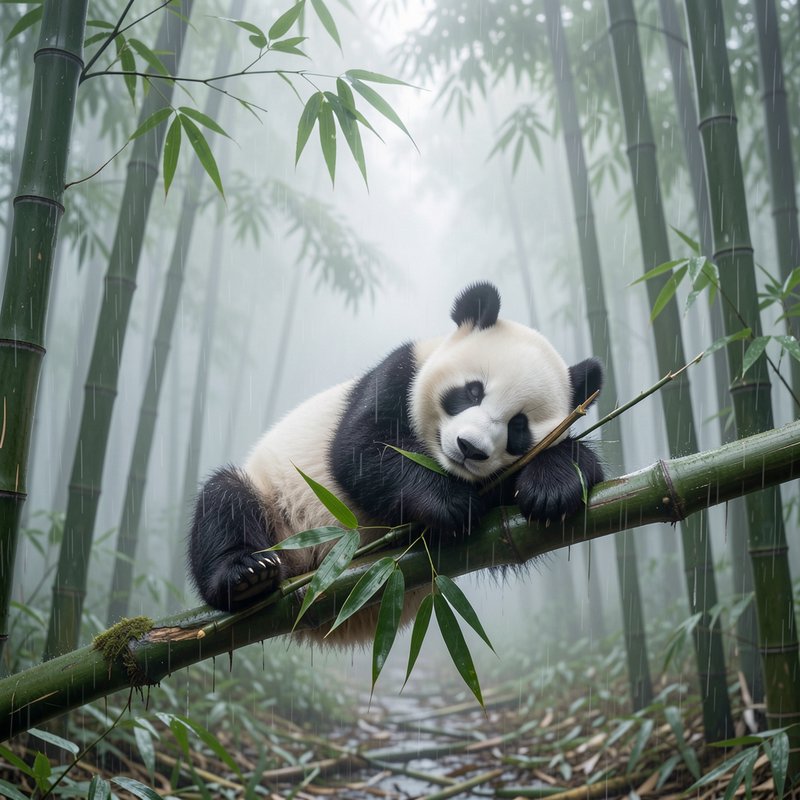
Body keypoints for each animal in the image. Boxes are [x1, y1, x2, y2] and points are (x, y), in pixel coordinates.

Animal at [188, 282, 604, 641]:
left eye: (519, 426)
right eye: (472, 391)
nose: (470, 448)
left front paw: (551, 490)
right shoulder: (399, 373)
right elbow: (360, 451)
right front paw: (450, 504)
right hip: (274, 505)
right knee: (224, 499)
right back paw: (245, 576)